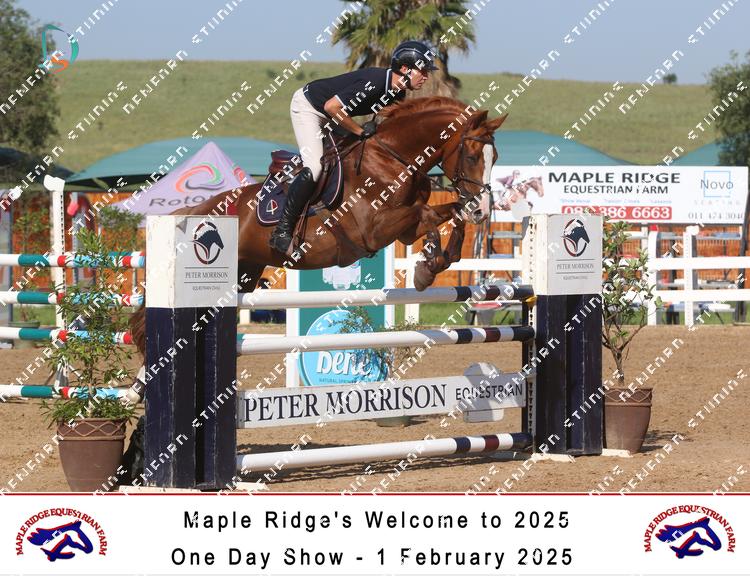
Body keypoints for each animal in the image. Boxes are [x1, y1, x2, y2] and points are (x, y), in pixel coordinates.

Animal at [130, 96, 508, 357]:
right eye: (472, 156)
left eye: (496, 158)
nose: (483, 209)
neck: (393, 157)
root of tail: (196, 209)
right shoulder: (375, 229)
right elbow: (428, 215)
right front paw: (428, 267)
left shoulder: (401, 228)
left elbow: (444, 214)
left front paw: (437, 260)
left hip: (244, 273)